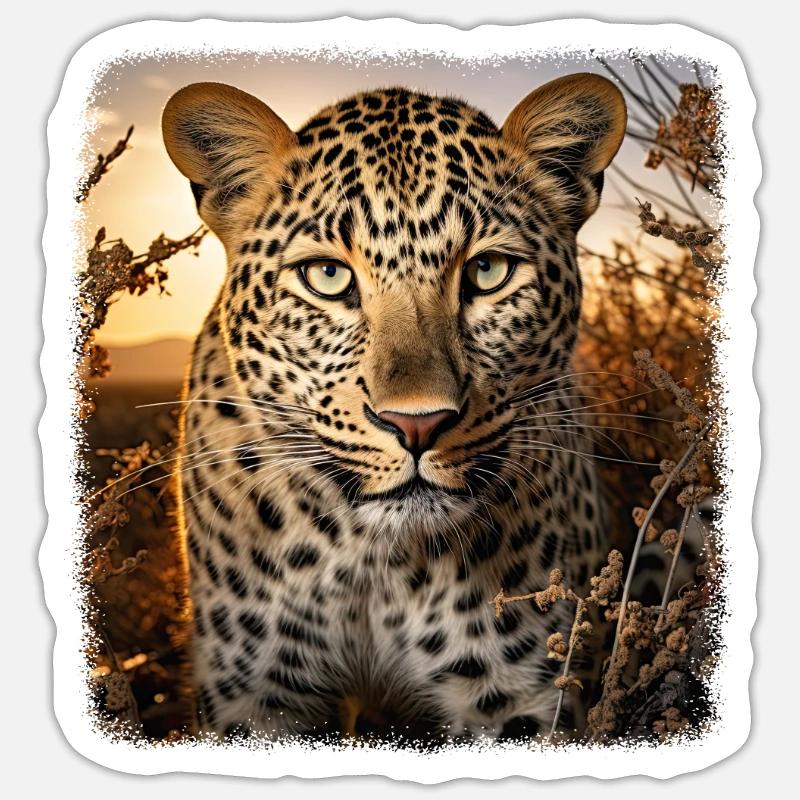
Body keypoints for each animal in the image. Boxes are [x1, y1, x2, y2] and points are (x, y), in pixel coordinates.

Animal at [161, 73, 627, 743]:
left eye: (488, 271)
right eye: (327, 276)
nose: (417, 423)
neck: (377, 568)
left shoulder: (519, 695)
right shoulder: (257, 694)